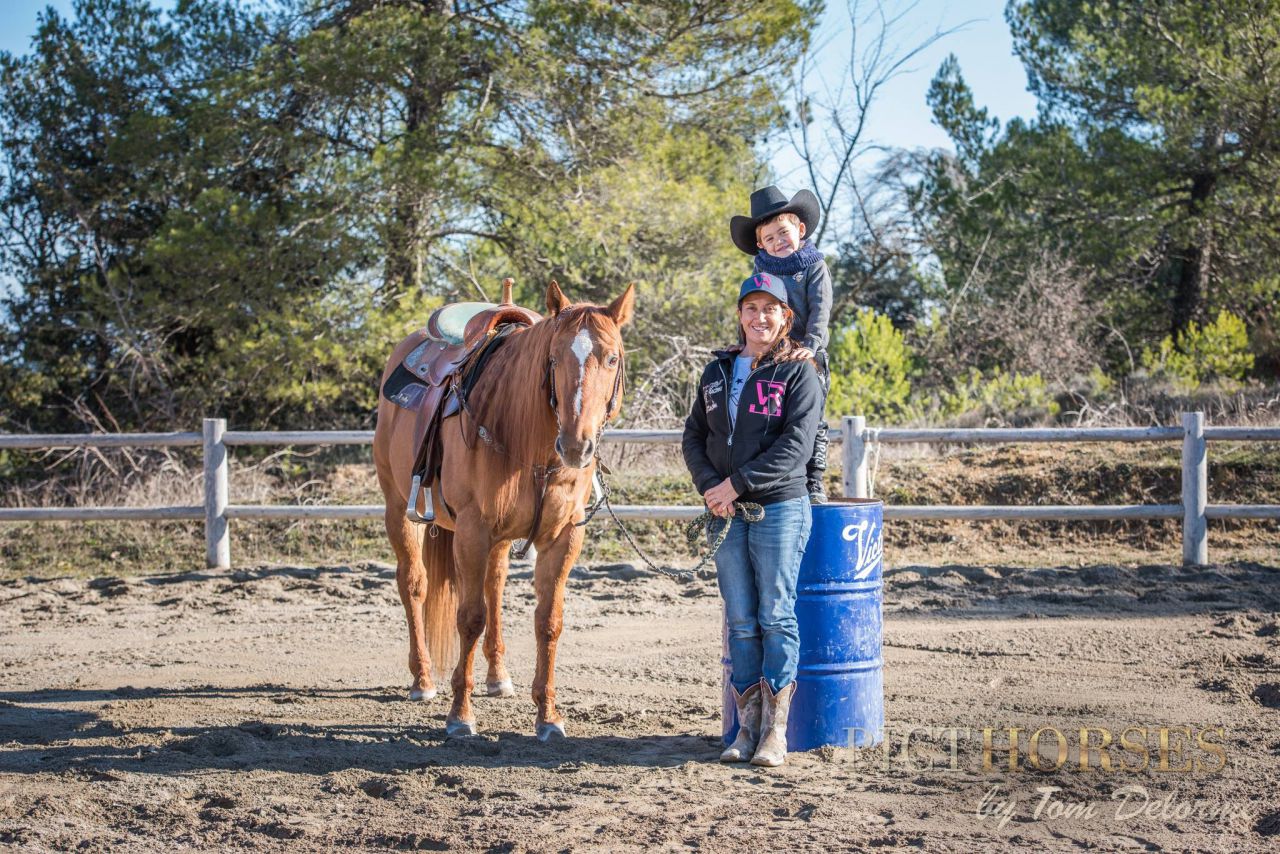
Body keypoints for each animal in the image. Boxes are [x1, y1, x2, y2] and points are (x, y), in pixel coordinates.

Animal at [372, 280, 634, 740]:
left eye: (612, 358)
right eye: (554, 358)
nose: (576, 446)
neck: (529, 446)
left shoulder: (563, 537)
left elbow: (548, 621)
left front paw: (548, 716)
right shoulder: (472, 531)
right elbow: (469, 617)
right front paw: (460, 715)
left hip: (495, 540)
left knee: (493, 586)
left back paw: (498, 677)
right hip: (399, 510)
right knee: (415, 585)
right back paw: (423, 679)